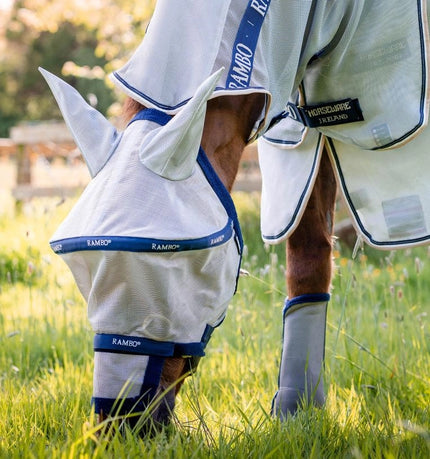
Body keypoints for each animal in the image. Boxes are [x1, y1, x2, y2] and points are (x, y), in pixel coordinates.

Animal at [41, 0, 430, 432]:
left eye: (182, 263)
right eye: (82, 271)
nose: (119, 427)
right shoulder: (299, 138)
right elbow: (308, 261)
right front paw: (298, 413)